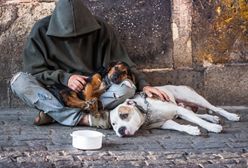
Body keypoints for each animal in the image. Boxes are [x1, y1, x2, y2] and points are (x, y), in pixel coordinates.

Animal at [109, 84, 239, 137]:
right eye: (114, 125)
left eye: (124, 115)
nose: (120, 130)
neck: (147, 113)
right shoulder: (164, 123)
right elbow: (178, 126)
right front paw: (191, 129)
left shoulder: (178, 110)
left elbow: (199, 121)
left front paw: (212, 127)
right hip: (184, 108)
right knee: (196, 114)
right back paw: (212, 118)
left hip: (193, 98)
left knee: (216, 108)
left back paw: (231, 116)